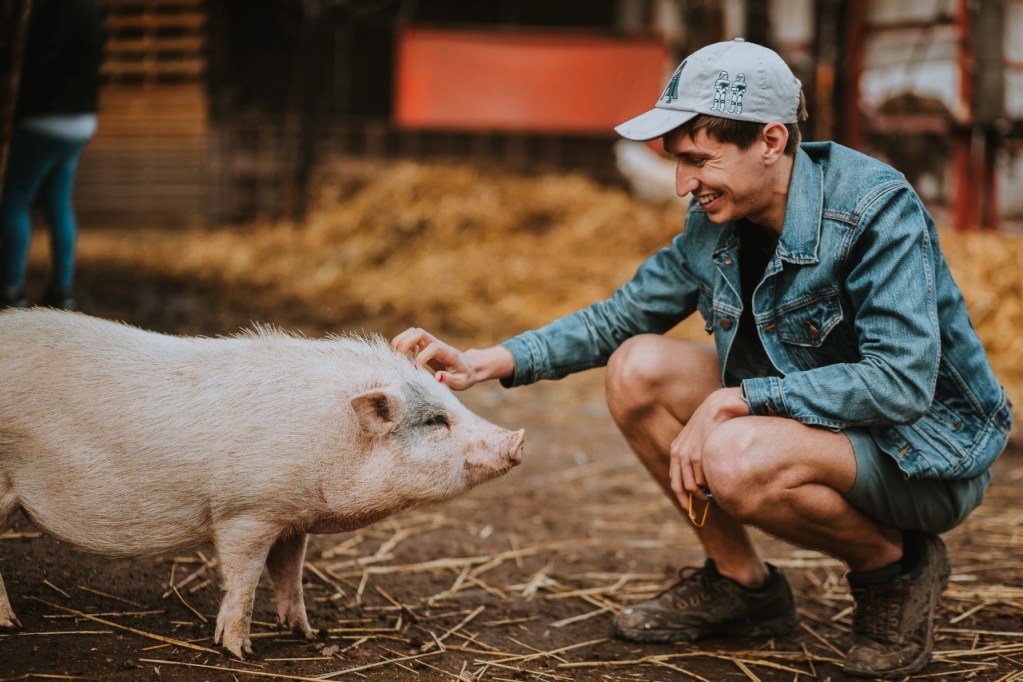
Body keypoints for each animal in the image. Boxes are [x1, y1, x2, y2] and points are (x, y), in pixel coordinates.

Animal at [0, 308, 524, 659]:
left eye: (453, 403)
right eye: (436, 421)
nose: (518, 439)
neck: (333, 437)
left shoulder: (291, 518)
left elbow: (290, 571)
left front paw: (307, 634)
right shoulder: (246, 512)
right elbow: (245, 579)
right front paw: (241, 651)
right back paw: (12, 624)